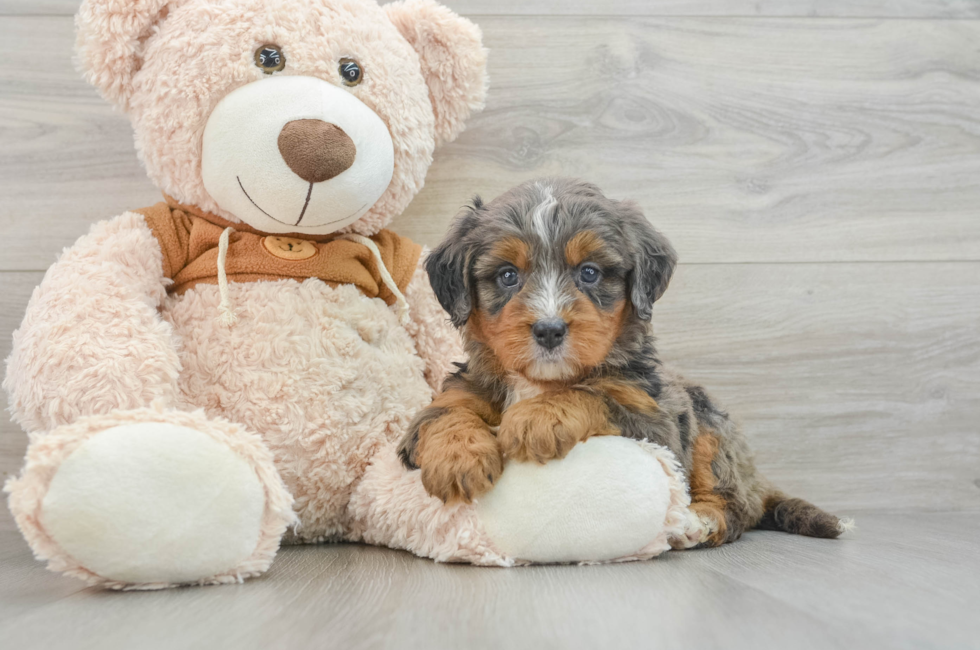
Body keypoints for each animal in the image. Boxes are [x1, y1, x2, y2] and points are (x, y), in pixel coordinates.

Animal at [398, 177, 844, 548]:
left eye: (590, 273)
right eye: (508, 275)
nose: (549, 330)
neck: (539, 382)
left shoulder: (657, 423)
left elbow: (593, 394)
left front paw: (538, 417)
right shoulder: (454, 396)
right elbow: (445, 415)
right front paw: (457, 459)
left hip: (710, 430)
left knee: (735, 506)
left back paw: (699, 522)